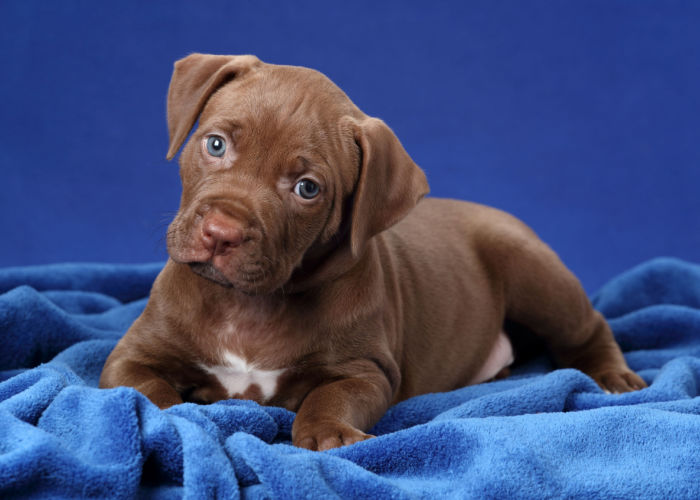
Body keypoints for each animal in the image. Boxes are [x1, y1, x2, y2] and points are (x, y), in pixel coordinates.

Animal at [98, 52, 644, 452]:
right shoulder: (129, 358)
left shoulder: (366, 371)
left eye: (307, 189)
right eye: (215, 145)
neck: (247, 304)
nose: (220, 232)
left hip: (532, 272)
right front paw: (174, 417)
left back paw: (614, 376)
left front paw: (329, 434)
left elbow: (330, 396)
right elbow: (152, 394)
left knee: (588, 326)